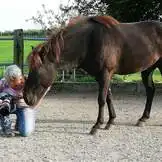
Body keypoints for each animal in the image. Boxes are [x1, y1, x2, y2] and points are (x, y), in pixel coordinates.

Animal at [22, 15, 162, 134]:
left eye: (37, 69)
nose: (26, 97)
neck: (89, 40)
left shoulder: (105, 73)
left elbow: (101, 99)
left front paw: (97, 125)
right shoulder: (101, 76)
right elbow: (108, 97)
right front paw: (110, 122)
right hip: (147, 69)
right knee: (150, 91)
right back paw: (143, 118)